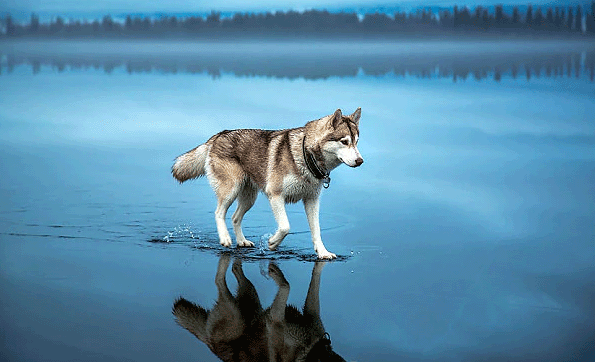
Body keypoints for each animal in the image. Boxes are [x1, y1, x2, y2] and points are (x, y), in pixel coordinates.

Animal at [171, 255, 344, 362]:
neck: (312, 350)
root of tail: (209, 344)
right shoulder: (275, 320)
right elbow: (287, 286)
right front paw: (276, 273)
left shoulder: (311, 314)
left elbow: (315, 280)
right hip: (236, 315)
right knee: (218, 280)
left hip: (250, 298)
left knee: (235, 271)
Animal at [172, 109, 364, 258]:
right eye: (344, 142)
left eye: (356, 142)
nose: (360, 161)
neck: (305, 155)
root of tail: (218, 135)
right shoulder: (276, 195)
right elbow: (285, 226)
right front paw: (272, 242)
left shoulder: (312, 200)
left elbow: (316, 230)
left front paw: (323, 253)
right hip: (231, 190)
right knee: (219, 212)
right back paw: (225, 238)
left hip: (249, 198)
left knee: (235, 217)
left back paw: (241, 241)